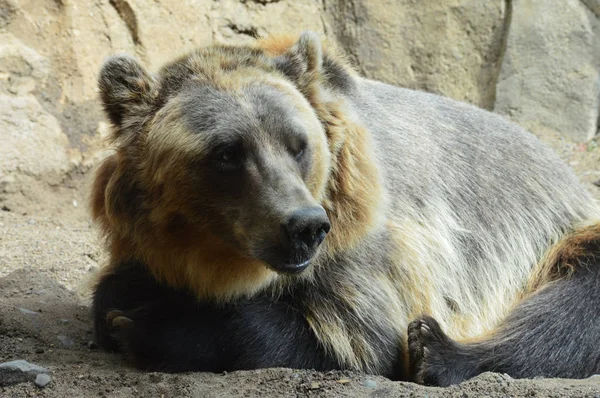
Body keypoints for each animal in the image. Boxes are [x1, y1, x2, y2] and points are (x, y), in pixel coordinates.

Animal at [90, 31, 600, 386]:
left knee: (571, 308)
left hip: (553, 236)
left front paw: (146, 324)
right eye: (227, 153)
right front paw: (128, 301)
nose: (304, 226)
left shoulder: (371, 247)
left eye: (298, 144)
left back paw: (437, 351)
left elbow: (352, 336)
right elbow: (120, 283)